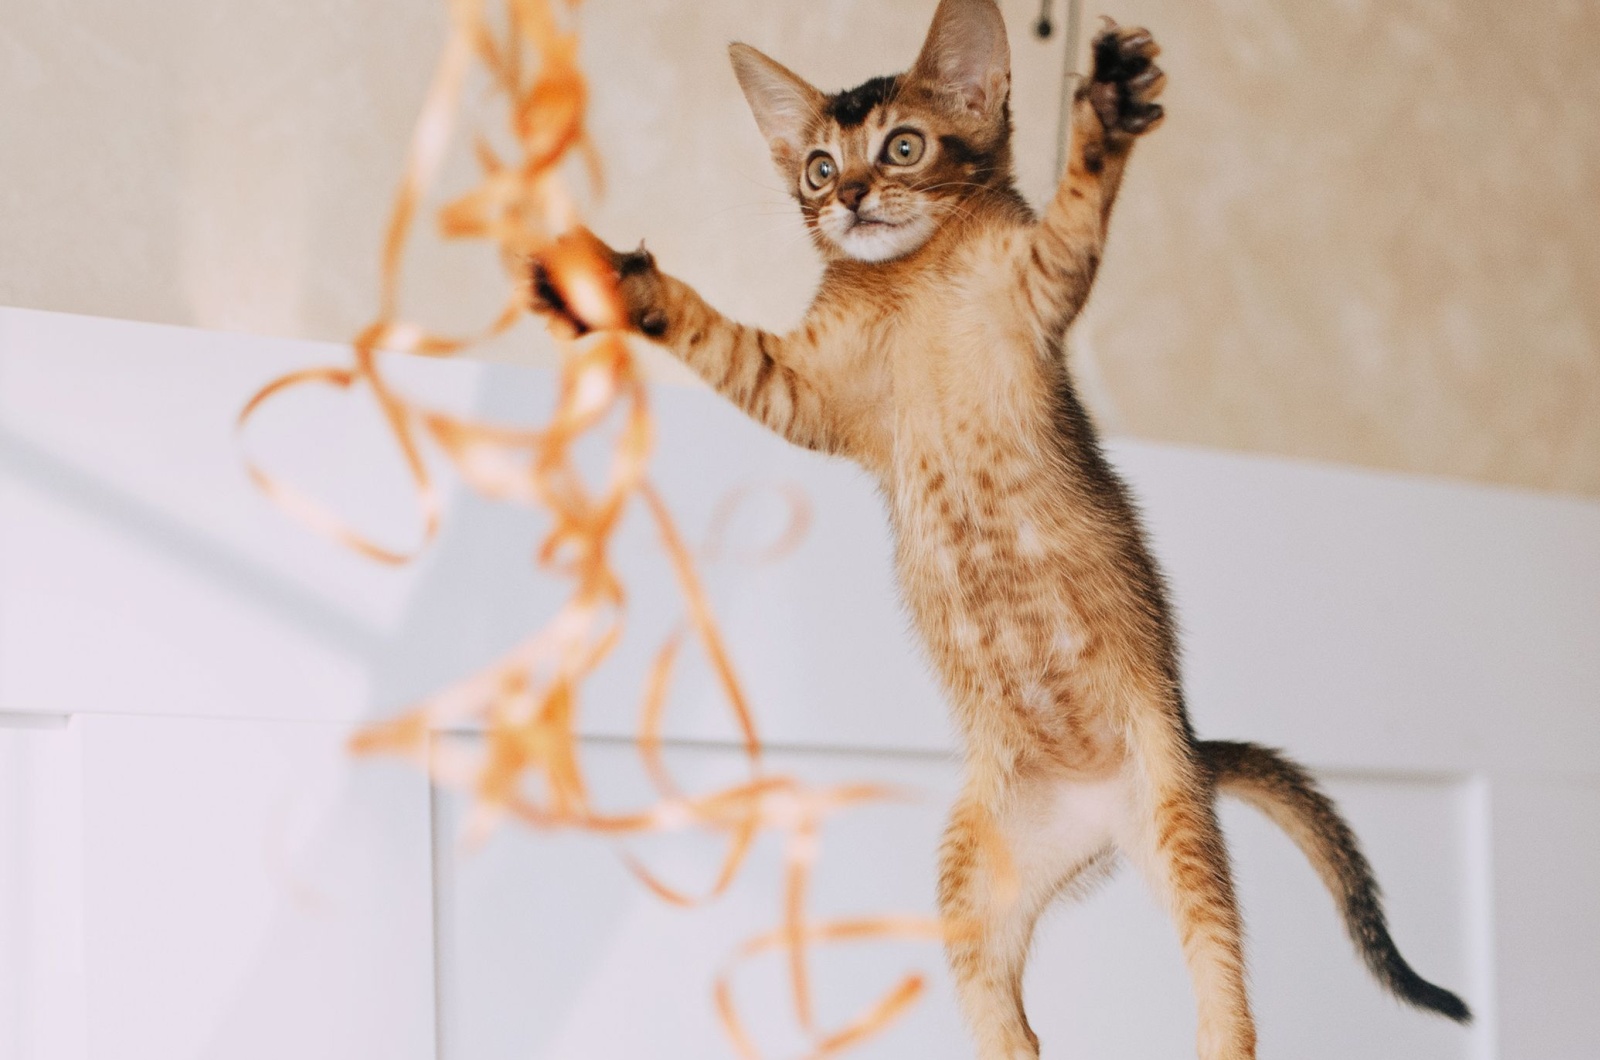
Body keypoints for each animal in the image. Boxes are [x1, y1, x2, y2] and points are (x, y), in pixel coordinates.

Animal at [528, 4, 1472, 1056]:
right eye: (816, 165)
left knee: (1224, 996)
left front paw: (1107, 110)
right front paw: (616, 288)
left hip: (1181, 827)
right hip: (970, 889)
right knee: (1013, 1031)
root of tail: (1103, 814)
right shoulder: (802, 390)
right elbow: (714, 334)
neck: (906, 280)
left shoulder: (1034, 285)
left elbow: (1074, 218)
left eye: (903, 146)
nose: (850, 197)